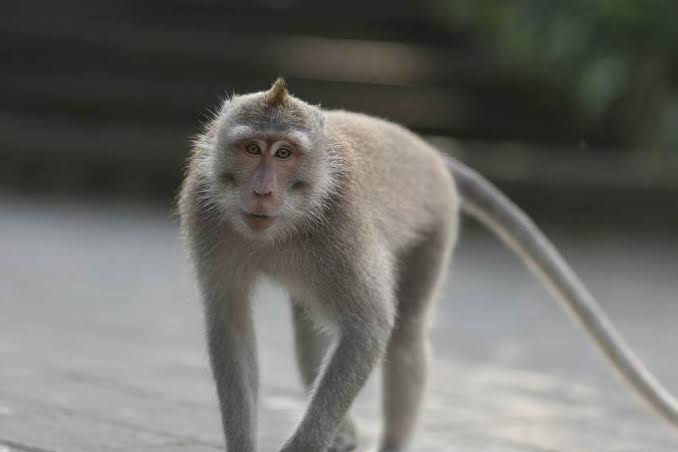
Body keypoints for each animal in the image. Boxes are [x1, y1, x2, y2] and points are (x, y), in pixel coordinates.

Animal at [178, 79, 676, 450]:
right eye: (251, 149)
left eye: (284, 153)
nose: (262, 191)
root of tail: (430, 151)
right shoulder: (204, 213)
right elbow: (231, 327)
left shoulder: (343, 230)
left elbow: (369, 328)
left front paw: (304, 446)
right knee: (314, 328)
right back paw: (345, 432)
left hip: (435, 227)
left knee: (405, 335)